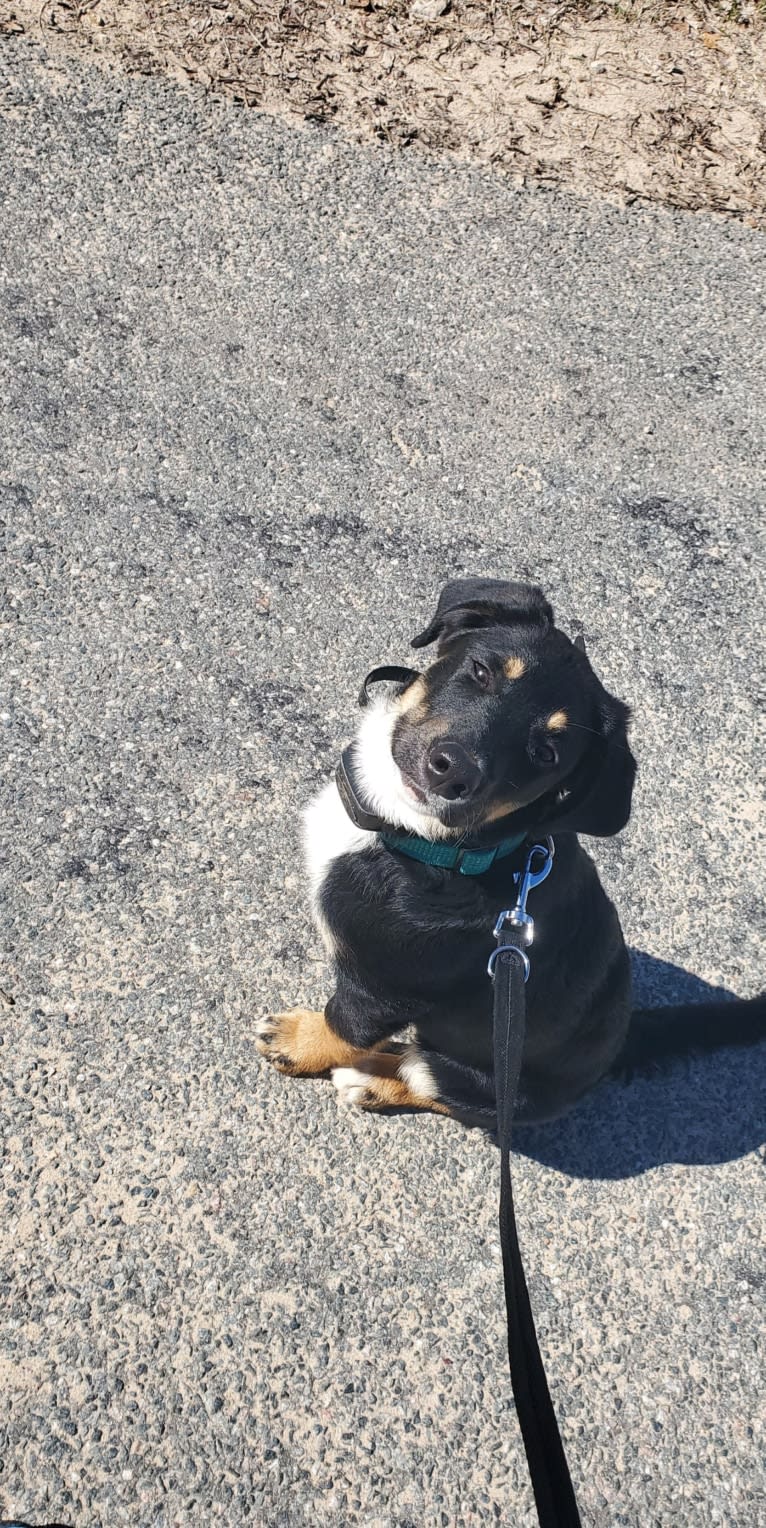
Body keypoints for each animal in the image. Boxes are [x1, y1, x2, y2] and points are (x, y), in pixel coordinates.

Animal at [258, 574, 764, 1124]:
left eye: (546, 753)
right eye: (481, 671)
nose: (453, 770)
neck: (434, 847)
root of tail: (623, 1040)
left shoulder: (384, 991)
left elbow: (342, 1025)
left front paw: (298, 1040)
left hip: (494, 1083)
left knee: (427, 1078)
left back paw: (372, 1079)